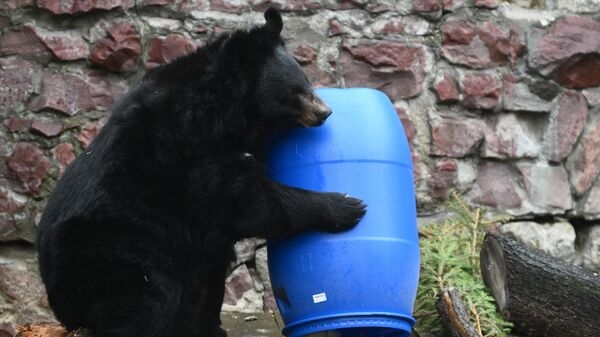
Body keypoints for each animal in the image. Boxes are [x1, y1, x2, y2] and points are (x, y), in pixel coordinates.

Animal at [38, 7, 366, 336]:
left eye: (307, 83)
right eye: (297, 90)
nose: (325, 112)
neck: (230, 111)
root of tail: (61, 305)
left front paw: (211, 325)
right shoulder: (193, 151)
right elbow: (251, 203)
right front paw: (348, 205)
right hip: (119, 248)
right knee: (147, 295)